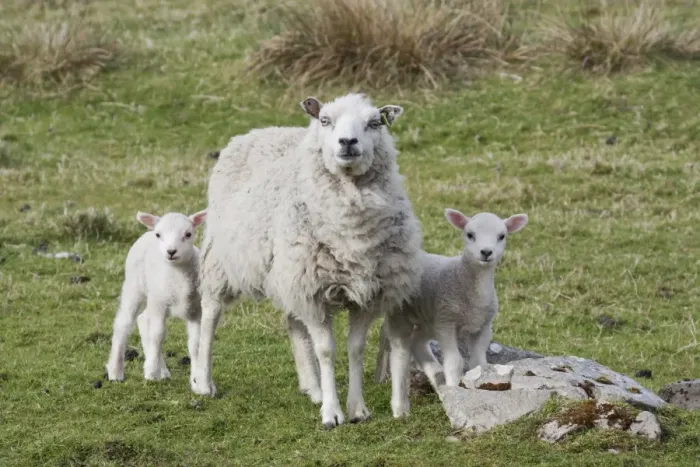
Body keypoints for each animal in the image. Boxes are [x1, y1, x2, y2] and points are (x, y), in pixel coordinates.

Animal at [106, 209, 207, 383]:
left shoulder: (196, 311)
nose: (171, 251)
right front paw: (151, 370)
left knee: (142, 319)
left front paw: (197, 378)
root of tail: (147, 232)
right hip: (135, 287)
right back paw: (116, 372)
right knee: (123, 324)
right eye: (159, 235)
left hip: (153, 297)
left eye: (188, 234)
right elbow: (158, 335)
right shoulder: (160, 304)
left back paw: (163, 371)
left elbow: (195, 344)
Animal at [192, 93, 422, 429]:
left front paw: (357, 408)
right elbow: (326, 351)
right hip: (220, 259)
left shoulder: (366, 294)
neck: (352, 231)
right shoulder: (313, 291)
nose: (347, 142)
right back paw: (203, 381)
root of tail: (261, 130)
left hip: (287, 273)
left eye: (374, 123)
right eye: (325, 120)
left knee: (294, 324)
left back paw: (312, 387)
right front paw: (332, 413)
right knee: (210, 313)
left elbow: (355, 349)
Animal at [383, 208, 528, 418]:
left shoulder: (484, 326)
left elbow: (478, 362)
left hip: (429, 319)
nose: (486, 252)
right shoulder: (447, 323)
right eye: (470, 234)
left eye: (502, 236)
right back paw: (400, 408)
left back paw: (438, 380)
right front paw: (455, 391)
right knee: (400, 356)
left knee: (418, 343)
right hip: (401, 314)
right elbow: (455, 362)